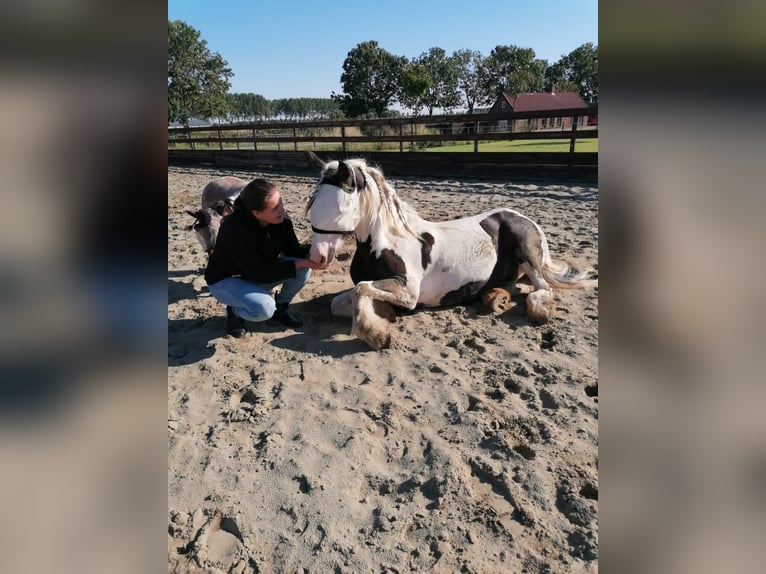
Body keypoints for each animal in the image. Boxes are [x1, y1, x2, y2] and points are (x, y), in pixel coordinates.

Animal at [306, 153, 600, 352]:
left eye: (340, 207)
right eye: (313, 201)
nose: (318, 256)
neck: (383, 243)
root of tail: (526, 218)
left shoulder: (408, 293)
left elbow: (362, 289)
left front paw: (376, 333)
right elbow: (340, 301)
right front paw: (382, 315)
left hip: (527, 252)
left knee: (541, 288)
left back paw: (538, 310)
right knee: (516, 285)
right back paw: (495, 298)